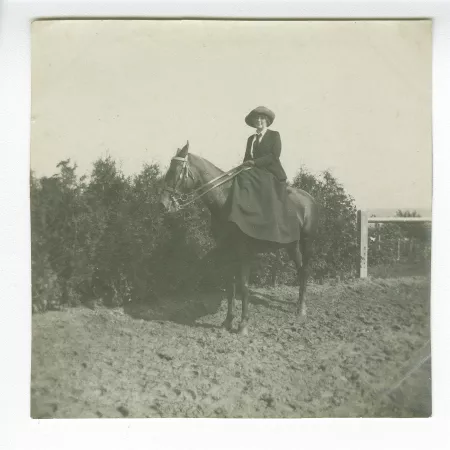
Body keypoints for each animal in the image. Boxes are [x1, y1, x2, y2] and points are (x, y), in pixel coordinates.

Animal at [160, 142, 318, 336]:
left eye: (175, 171)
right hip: (292, 245)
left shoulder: (245, 252)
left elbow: (244, 286)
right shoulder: (228, 251)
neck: (226, 201)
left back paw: (301, 310)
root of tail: (309, 198)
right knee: (300, 269)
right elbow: (230, 285)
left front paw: (243, 325)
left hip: (307, 242)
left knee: (305, 270)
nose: (163, 204)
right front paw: (227, 321)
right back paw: (298, 305)